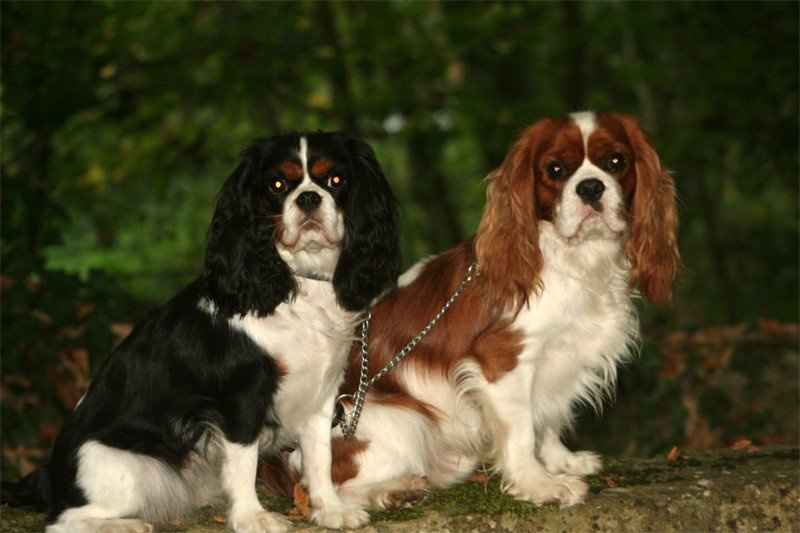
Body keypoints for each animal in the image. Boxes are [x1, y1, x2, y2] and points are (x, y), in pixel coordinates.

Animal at [1, 132, 396, 528]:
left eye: (336, 180)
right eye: (277, 185)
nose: (309, 198)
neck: (297, 282)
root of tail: (51, 474)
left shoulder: (320, 396)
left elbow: (319, 458)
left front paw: (330, 509)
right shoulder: (242, 398)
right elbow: (244, 462)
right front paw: (252, 517)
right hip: (125, 470)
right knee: (64, 519)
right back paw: (128, 524)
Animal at [270, 111, 680, 516]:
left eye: (617, 162)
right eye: (555, 170)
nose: (591, 188)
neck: (575, 259)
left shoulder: (559, 361)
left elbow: (546, 419)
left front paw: (561, 461)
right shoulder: (503, 359)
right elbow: (522, 430)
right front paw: (539, 483)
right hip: (402, 420)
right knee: (328, 487)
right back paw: (394, 491)